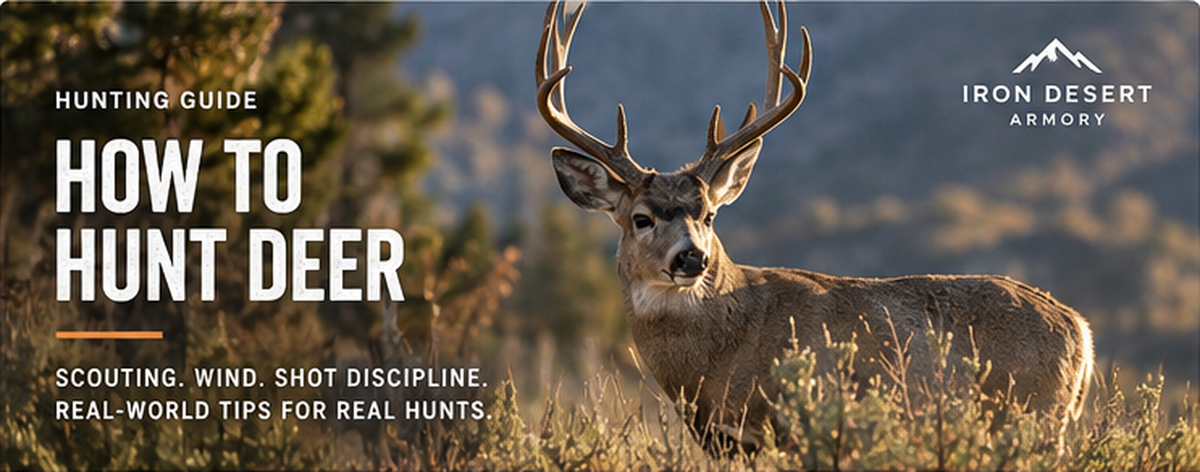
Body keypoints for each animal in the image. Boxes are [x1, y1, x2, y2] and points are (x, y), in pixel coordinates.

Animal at [535, 0, 1094, 453]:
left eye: (709, 214)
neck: (718, 357)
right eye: (641, 219)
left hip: (1034, 419)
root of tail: (1081, 330)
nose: (692, 257)